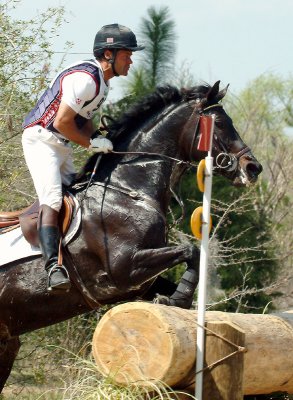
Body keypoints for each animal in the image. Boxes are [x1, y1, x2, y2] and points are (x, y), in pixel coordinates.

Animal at [0, 81, 260, 390]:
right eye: (219, 123)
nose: (253, 168)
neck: (128, 191)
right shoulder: (124, 270)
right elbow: (191, 251)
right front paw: (180, 299)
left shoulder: (140, 284)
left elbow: (179, 270)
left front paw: (175, 300)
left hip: (7, 342)